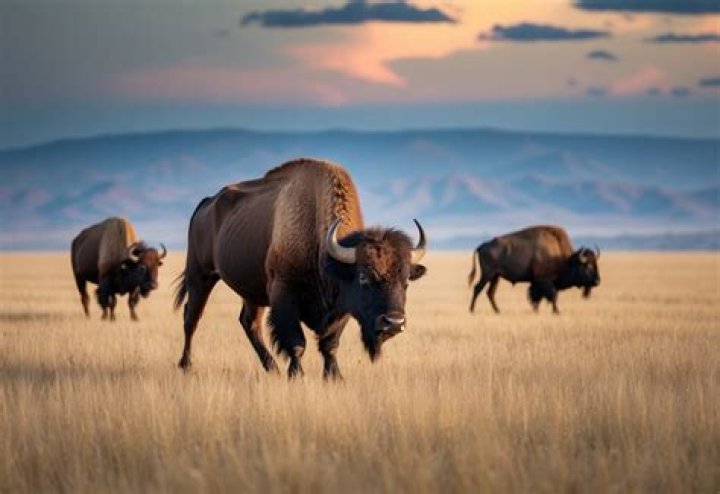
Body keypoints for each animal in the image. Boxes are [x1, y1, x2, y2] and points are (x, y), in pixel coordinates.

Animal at [174, 158, 427, 379]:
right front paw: (296, 375)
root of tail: (206, 203)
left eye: (405, 281)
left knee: (249, 323)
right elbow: (296, 343)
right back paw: (186, 366)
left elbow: (329, 344)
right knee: (191, 318)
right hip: (200, 275)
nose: (394, 323)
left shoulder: (342, 308)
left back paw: (272, 369)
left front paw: (334, 377)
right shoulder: (284, 297)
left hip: (251, 291)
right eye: (364, 278)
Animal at [468, 225, 600, 314]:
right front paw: (556, 311)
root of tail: (482, 246)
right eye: (587, 265)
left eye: (595, 263)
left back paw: (498, 311)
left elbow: (538, 296)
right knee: (478, 288)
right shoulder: (544, 281)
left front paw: (537, 310)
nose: (597, 281)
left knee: (490, 292)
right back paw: (472, 310)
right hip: (487, 275)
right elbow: (552, 295)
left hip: (496, 277)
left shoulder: (537, 283)